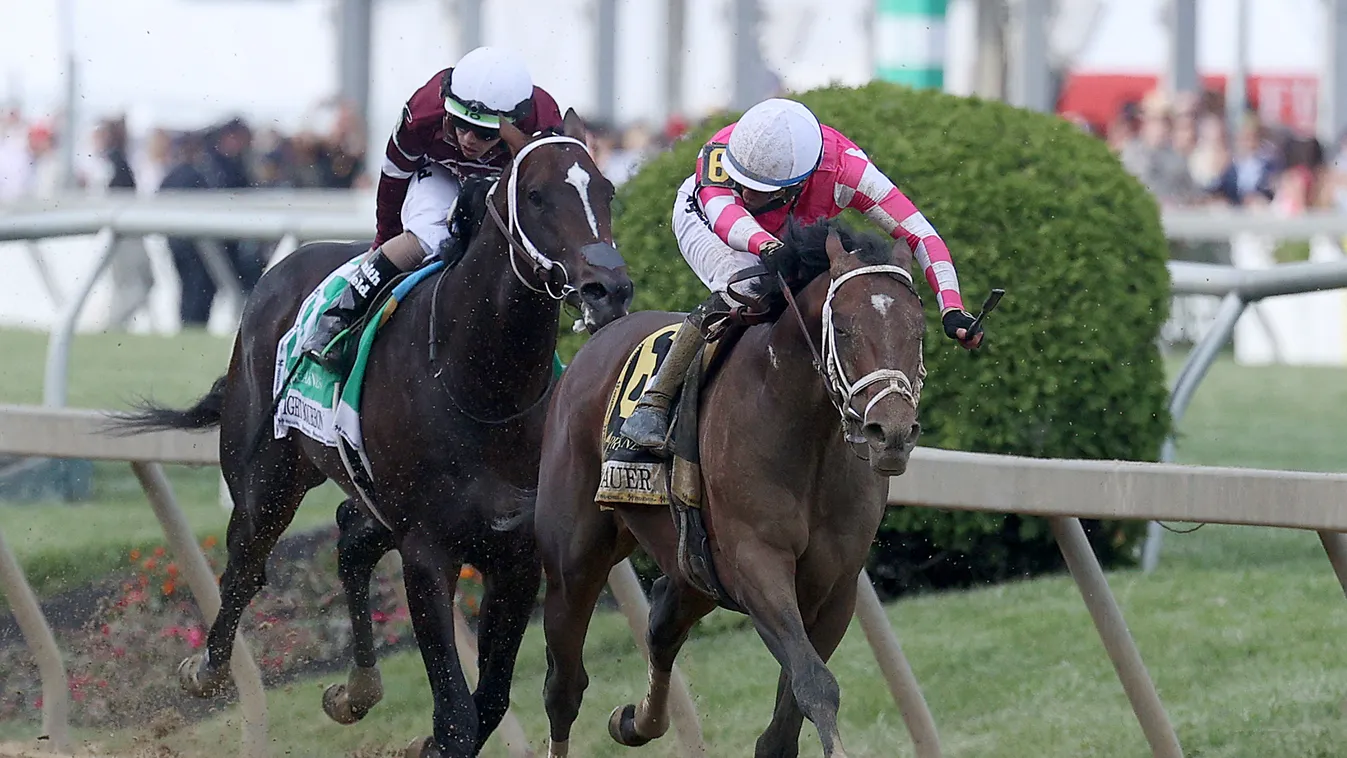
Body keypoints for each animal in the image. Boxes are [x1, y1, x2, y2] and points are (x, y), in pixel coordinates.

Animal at [105, 112, 630, 758]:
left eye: (607, 190)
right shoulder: (428, 551)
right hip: (266, 476)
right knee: (246, 566)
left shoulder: (515, 555)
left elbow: (486, 705)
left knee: (351, 536)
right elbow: (458, 717)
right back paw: (207, 670)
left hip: (372, 495)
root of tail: (281, 270)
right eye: (535, 195)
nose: (610, 289)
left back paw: (356, 689)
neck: (483, 388)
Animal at [530, 219, 932, 758]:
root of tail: (591, 347)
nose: (890, 433)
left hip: (691, 564)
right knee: (564, 686)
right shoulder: (754, 564)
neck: (806, 437)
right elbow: (815, 683)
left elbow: (785, 724)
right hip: (573, 562)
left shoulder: (834, 587)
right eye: (844, 329)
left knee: (662, 624)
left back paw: (636, 720)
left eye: (917, 330)